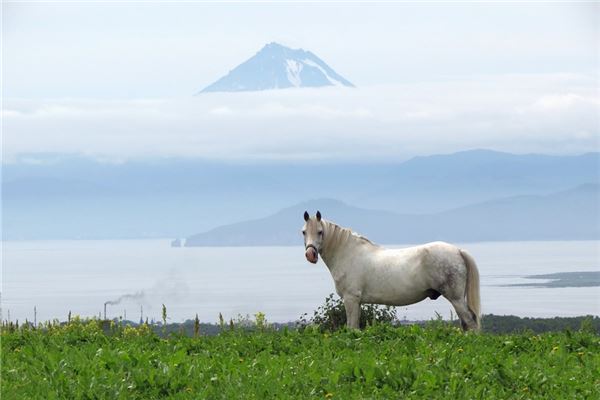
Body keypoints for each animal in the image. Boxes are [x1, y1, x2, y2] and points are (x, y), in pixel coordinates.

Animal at [302, 211, 480, 330]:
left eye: (320, 232)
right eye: (304, 231)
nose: (310, 254)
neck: (348, 253)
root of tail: (458, 251)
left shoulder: (350, 299)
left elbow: (351, 327)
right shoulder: (357, 302)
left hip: (455, 298)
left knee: (470, 321)